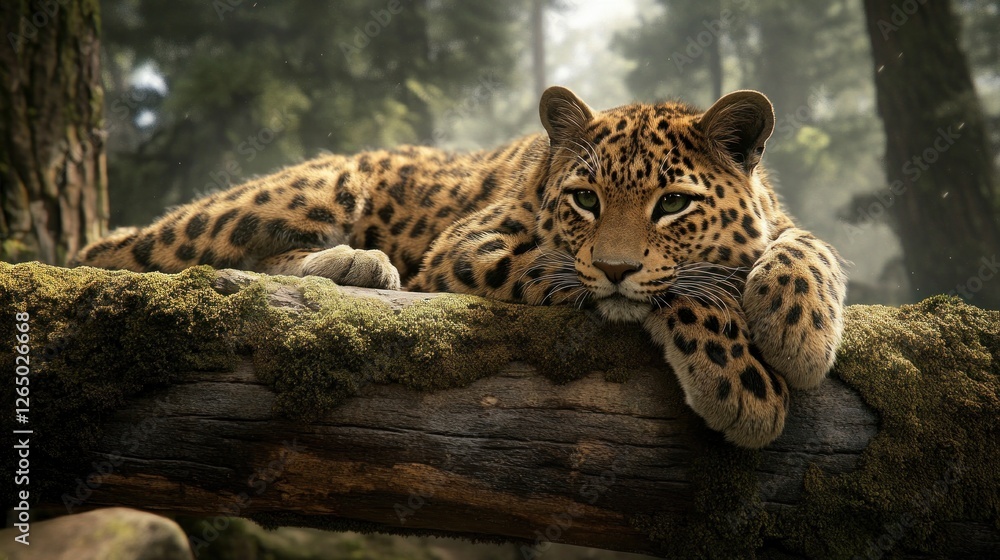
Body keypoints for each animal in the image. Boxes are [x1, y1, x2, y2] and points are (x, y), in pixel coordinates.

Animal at [74, 86, 847, 449]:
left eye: (674, 203)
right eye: (586, 199)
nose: (616, 265)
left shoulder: (780, 224)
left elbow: (812, 246)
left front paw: (797, 327)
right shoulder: (472, 245)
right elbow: (675, 289)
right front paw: (747, 385)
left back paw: (358, 266)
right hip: (312, 187)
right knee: (116, 256)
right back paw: (356, 260)